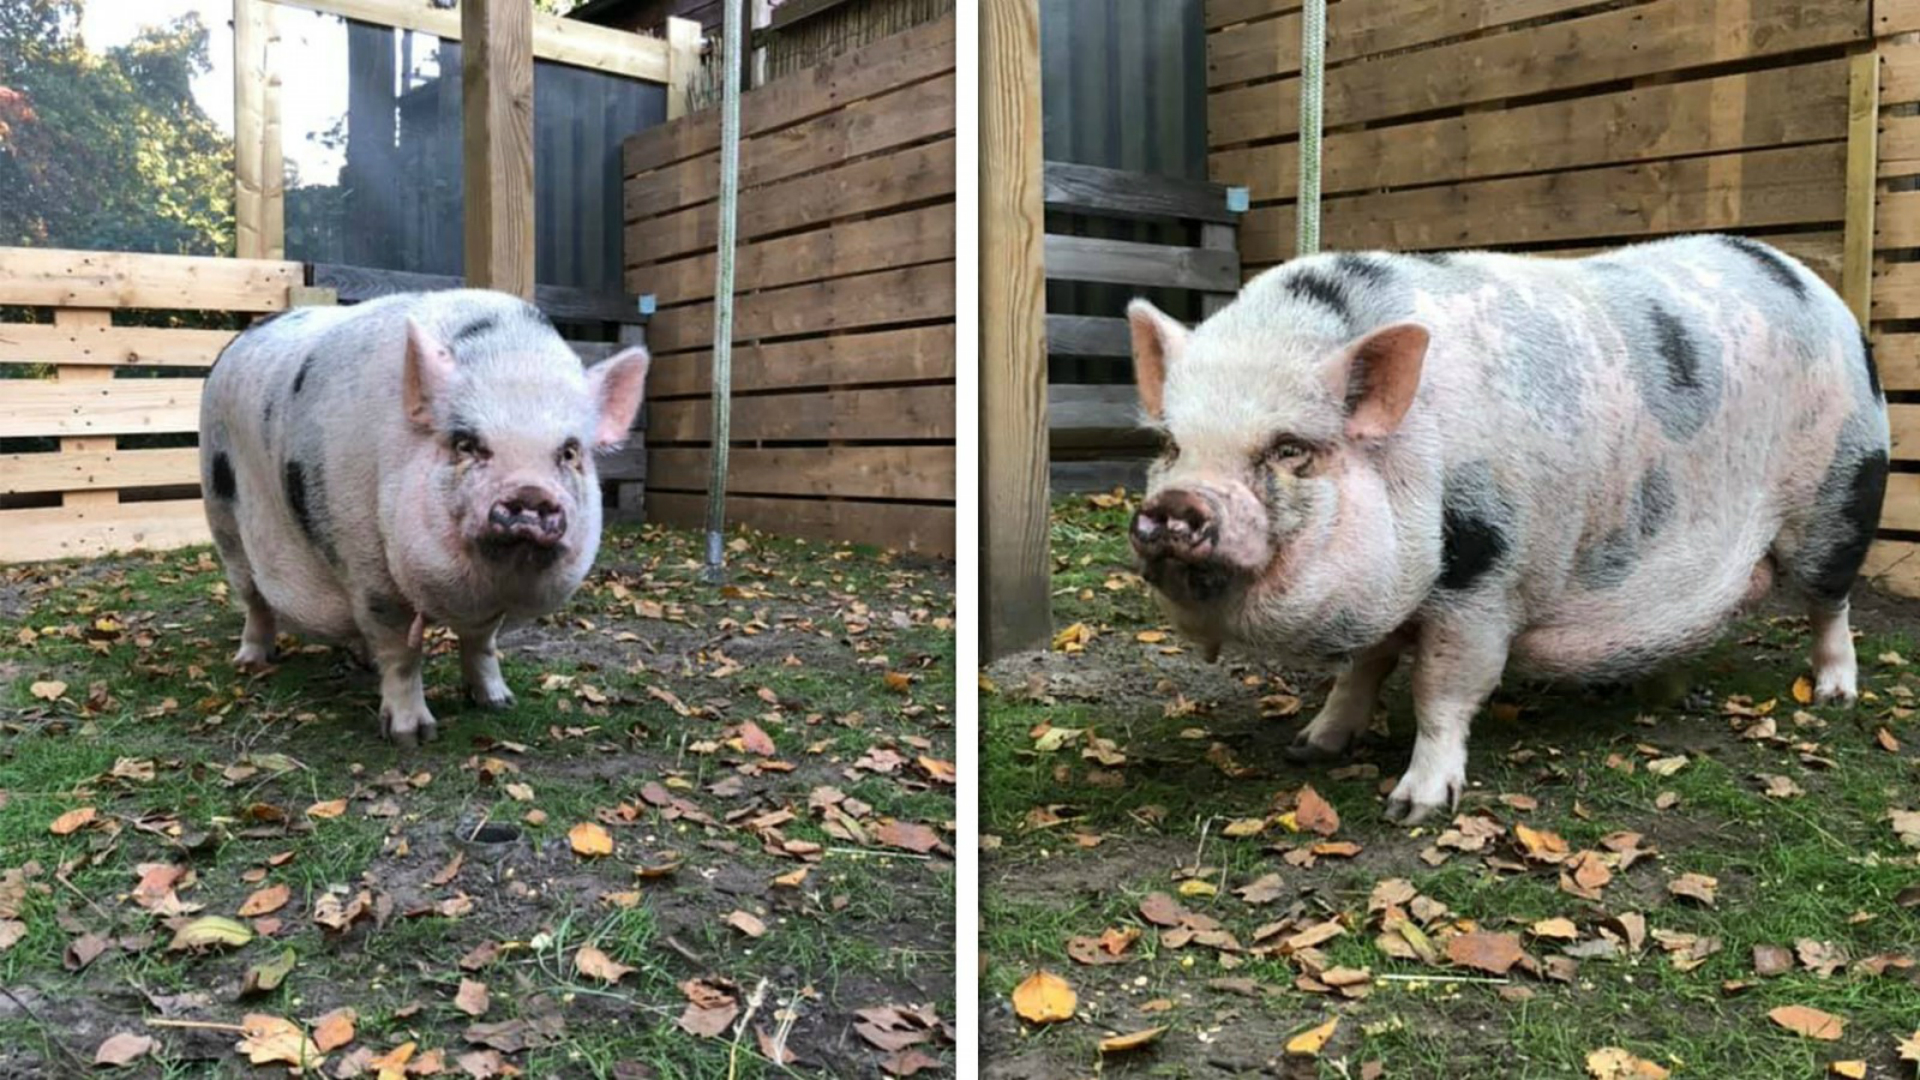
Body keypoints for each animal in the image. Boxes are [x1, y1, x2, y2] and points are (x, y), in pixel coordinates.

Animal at [198, 286, 652, 745]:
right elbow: (402, 652)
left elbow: (481, 644)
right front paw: (412, 737)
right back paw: (251, 662)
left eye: (570, 452)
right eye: (466, 444)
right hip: (222, 515)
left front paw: (499, 702)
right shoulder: (367, 567)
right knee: (253, 599)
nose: (529, 491)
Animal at [1121, 235, 1889, 818]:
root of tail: (1822, 292)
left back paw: (1834, 695)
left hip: (1841, 492)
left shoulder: (1483, 579)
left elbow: (1442, 690)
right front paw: (1308, 747)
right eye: (1170, 446)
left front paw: (1413, 808)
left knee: (1831, 602)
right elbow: (1363, 668)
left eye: (1289, 449)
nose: (1179, 502)